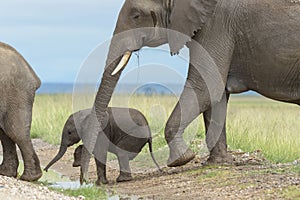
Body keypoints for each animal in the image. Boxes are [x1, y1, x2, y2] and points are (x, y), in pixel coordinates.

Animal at [81, 0, 298, 178]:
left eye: (136, 15)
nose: (86, 182)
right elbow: (215, 94)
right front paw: (218, 163)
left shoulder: (217, 24)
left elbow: (204, 86)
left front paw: (182, 159)